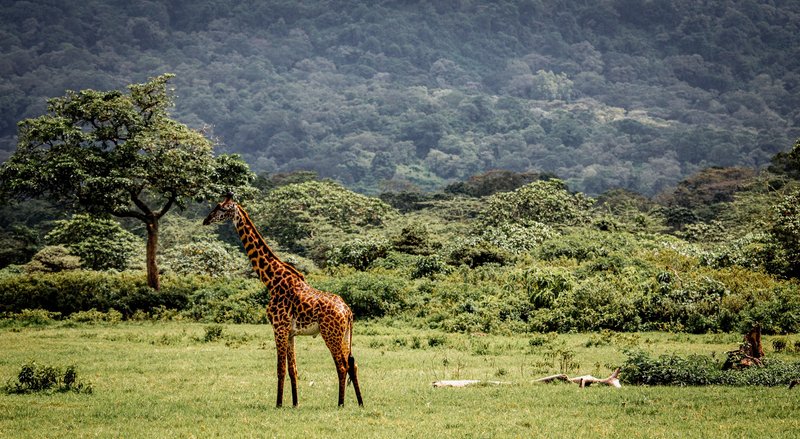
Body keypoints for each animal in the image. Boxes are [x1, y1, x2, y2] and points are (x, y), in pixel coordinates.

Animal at [202, 194, 364, 408]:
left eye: (221, 207)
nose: (206, 220)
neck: (271, 280)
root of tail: (347, 311)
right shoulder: (290, 332)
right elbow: (293, 369)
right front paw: (295, 403)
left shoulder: (278, 327)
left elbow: (280, 368)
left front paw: (278, 404)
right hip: (344, 335)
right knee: (353, 364)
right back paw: (360, 403)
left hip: (331, 334)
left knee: (342, 365)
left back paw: (341, 403)